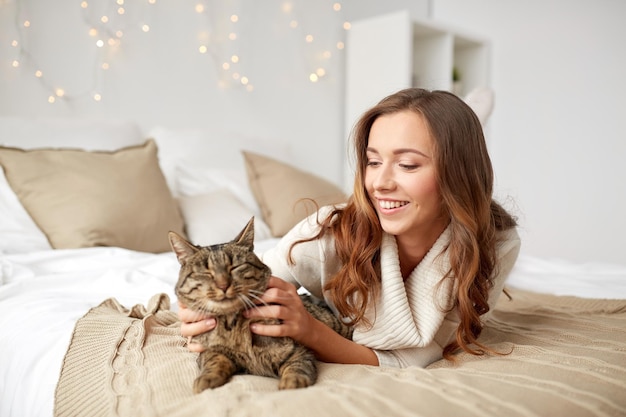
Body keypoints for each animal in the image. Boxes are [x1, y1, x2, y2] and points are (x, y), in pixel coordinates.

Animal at [167, 218, 352, 394]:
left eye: (235, 266)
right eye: (205, 272)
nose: (223, 285)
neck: (233, 324)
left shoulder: (297, 351)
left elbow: (297, 368)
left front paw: (292, 383)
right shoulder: (209, 351)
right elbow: (215, 360)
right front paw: (206, 379)